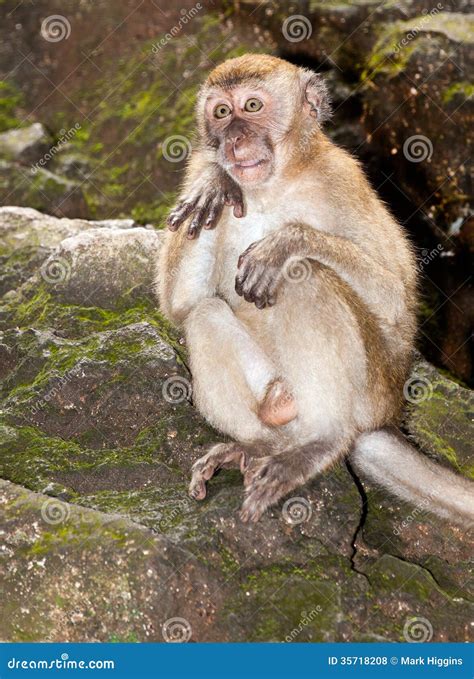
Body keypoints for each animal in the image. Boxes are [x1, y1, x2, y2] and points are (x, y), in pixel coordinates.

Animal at [157, 54, 474, 526]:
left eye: (252, 106)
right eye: (221, 112)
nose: (234, 140)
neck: (274, 185)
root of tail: (382, 418)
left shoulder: (343, 179)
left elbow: (396, 301)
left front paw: (288, 241)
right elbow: (181, 305)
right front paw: (216, 181)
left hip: (369, 391)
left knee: (305, 277)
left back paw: (323, 441)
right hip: (278, 387)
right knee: (206, 313)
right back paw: (261, 445)